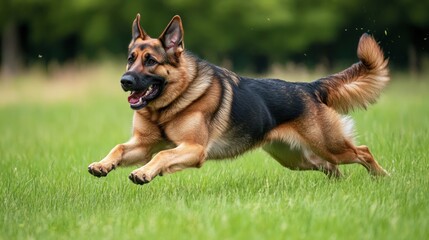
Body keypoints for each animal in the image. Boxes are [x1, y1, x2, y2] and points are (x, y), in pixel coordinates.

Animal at [87, 14, 388, 185]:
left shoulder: (193, 148)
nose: (125, 81)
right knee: (331, 168)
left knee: (363, 152)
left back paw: (383, 178)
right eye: (130, 59)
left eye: (150, 61)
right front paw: (102, 165)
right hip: (297, 159)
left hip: (329, 146)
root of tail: (309, 87)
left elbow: (162, 155)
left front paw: (144, 173)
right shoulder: (143, 145)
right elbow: (119, 148)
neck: (169, 104)